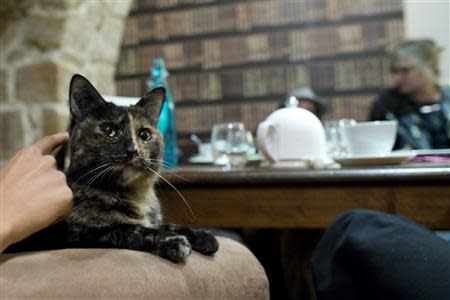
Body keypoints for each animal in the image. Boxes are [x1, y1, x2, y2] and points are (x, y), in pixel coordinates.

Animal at [6, 75, 218, 262]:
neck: (137, 195)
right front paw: (173, 242)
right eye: (109, 130)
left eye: (144, 134)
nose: (133, 150)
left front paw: (201, 235)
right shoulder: (83, 234)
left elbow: (167, 225)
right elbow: (135, 230)